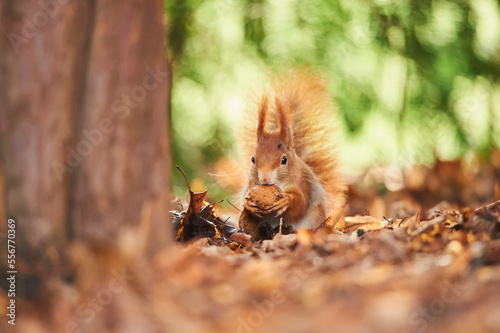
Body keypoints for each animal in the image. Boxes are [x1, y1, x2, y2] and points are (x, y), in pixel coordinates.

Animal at [241, 69, 344, 228]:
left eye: (284, 160)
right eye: (253, 159)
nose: (264, 179)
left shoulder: (303, 184)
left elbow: (300, 204)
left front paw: (286, 200)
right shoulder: (251, 183)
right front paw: (248, 203)